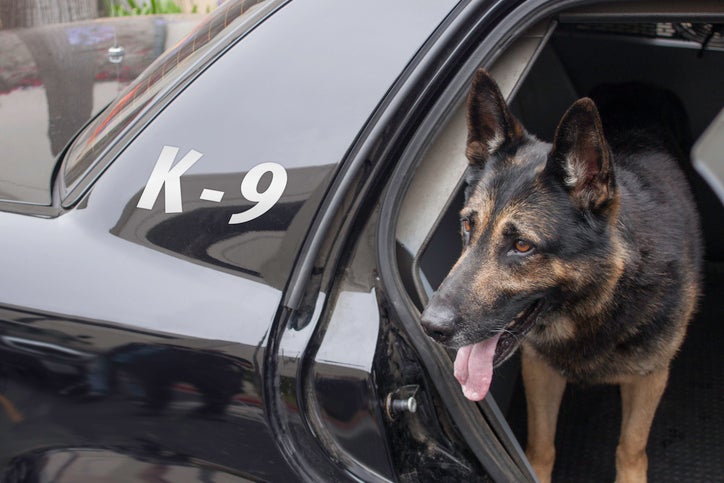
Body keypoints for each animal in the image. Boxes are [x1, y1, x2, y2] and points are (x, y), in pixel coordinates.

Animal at [418, 69, 700, 483]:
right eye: (468, 225)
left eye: (522, 246)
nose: (429, 326)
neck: (600, 301)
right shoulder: (539, 369)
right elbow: (541, 444)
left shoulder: (651, 376)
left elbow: (630, 448)